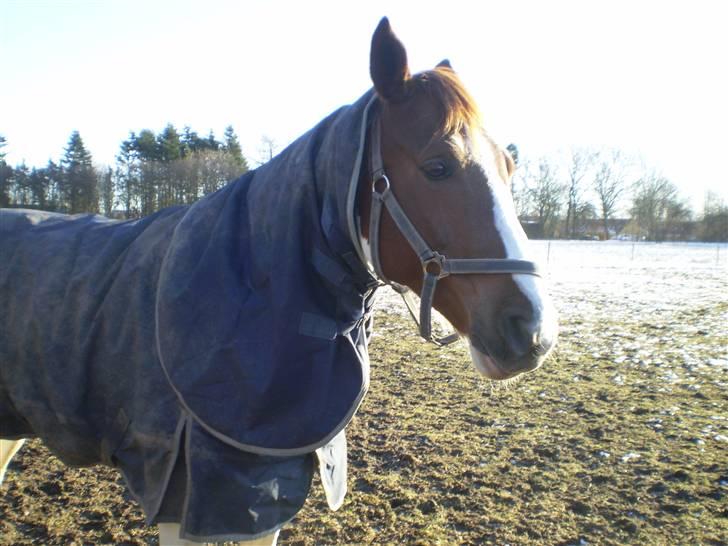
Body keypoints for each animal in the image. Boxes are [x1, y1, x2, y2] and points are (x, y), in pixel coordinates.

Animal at [1, 18, 556, 544]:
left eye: (510, 167)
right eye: (437, 166)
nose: (535, 332)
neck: (255, 280)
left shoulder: (261, 496)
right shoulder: (185, 496)